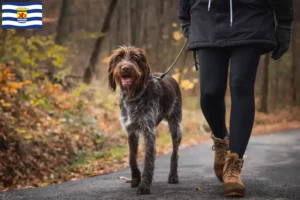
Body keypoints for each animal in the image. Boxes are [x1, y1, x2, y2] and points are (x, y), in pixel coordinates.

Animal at [108, 46, 183, 195]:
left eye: (135, 58)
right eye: (119, 58)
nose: (125, 68)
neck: (133, 95)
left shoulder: (148, 131)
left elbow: (148, 159)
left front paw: (144, 185)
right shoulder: (131, 130)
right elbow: (132, 157)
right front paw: (136, 178)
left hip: (176, 126)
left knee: (175, 153)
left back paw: (173, 175)